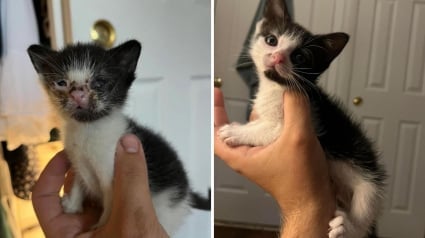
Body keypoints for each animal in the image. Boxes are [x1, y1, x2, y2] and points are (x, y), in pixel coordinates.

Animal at [26, 40, 209, 233]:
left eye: (99, 82)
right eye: (61, 83)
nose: (77, 94)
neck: (87, 129)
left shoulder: (111, 172)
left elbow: (110, 202)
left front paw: (100, 228)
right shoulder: (76, 158)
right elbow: (78, 179)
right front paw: (72, 205)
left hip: (168, 211)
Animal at [219, 0, 384, 237]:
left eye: (299, 57)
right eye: (272, 40)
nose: (277, 57)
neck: (275, 87)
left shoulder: (301, 122)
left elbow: (268, 130)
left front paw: (236, 131)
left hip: (369, 183)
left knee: (364, 213)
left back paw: (346, 228)